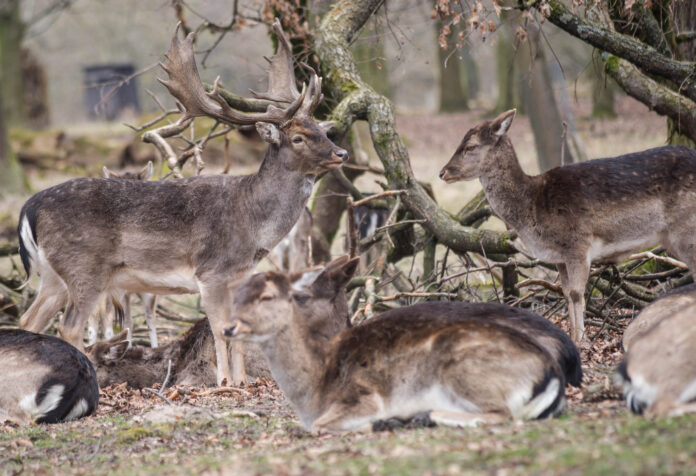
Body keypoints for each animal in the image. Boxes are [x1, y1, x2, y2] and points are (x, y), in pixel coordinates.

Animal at [226, 272, 568, 432]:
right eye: (237, 293)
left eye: (267, 296)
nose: (228, 326)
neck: (312, 391)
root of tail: (552, 374)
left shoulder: (364, 396)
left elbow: (323, 426)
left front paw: (381, 422)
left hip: (463, 367)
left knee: (502, 415)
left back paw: (417, 416)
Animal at [438, 109, 696, 342]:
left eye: (470, 146)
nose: (442, 172)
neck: (531, 209)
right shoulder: (559, 257)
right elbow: (565, 292)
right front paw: (572, 335)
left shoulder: (578, 245)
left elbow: (576, 293)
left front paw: (581, 340)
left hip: (685, 229)